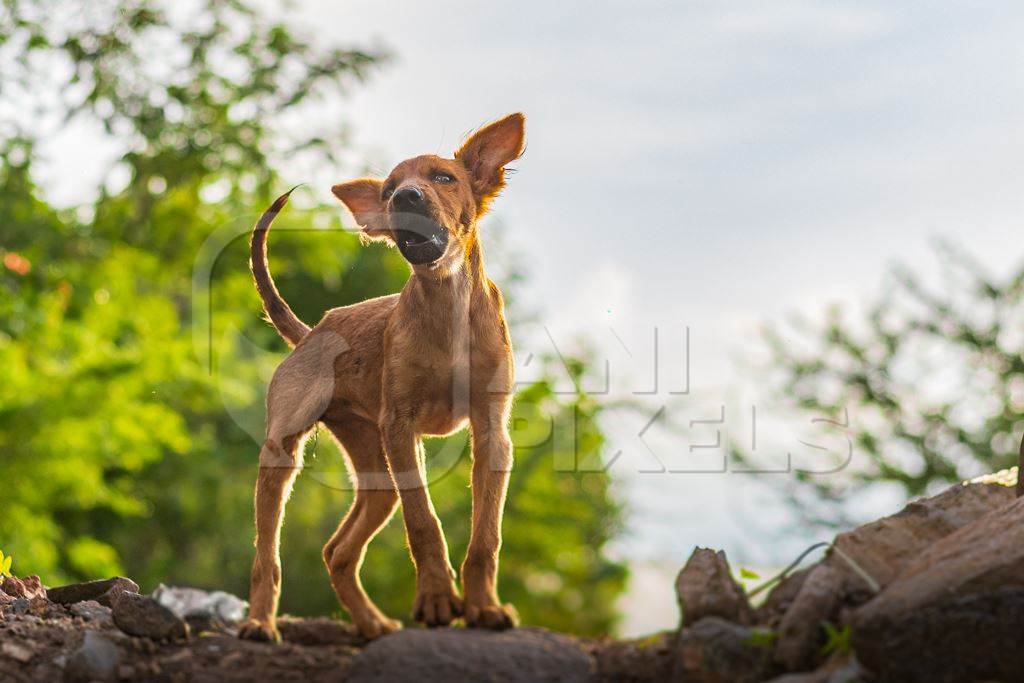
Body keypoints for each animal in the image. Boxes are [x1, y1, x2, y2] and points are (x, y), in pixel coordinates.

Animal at [238, 114, 524, 643]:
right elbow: (424, 522)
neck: (447, 308)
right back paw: (259, 622)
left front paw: (484, 607)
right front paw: (436, 599)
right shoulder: (401, 427)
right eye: (390, 188)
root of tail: (312, 332)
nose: (403, 197)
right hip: (282, 456)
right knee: (267, 558)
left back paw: (371, 623)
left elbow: (485, 537)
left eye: (443, 178)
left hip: (377, 475)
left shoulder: (492, 433)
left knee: (336, 552)